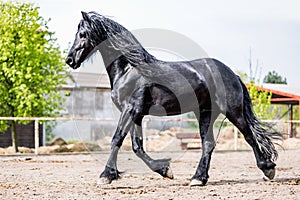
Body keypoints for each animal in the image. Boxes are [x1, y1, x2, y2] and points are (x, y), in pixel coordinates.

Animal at [65, 10, 282, 186]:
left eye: (82, 34)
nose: (70, 60)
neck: (129, 70)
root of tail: (232, 74)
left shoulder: (131, 109)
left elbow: (117, 139)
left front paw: (106, 176)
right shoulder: (137, 115)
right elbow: (137, 147)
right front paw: (165, 171)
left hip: (233, 112)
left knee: (249, 136)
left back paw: (267, 168)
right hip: (205, 113)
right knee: (208, 143)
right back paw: (198, 178)